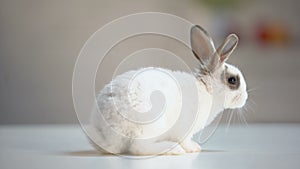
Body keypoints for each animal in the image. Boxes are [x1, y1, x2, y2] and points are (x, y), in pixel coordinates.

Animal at [85, 25, 248, 156]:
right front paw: (193, 148)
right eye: (232, 80)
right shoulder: (184, 131)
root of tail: (109, 134)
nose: (245, 97)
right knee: (139, 148)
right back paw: (174, 149)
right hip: (151, 126)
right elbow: (185, 140)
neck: (207, 89)